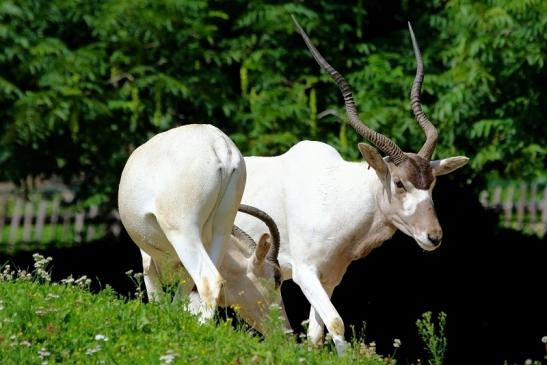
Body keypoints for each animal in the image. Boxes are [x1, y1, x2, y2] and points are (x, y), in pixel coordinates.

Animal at [117, 123, 284, 332]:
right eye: (276, 279)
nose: (286, 331)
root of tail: (219, 144)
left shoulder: (148, 257)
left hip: (183, 232)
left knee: (210, 280)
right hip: (221, 229)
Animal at [233, 17, 468, 352]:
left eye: (432, 184)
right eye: (399, 183)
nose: (433, 236)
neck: (337, 197)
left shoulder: (329, 278)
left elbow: (316, 334)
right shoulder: (305, 272)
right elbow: (336, 322)